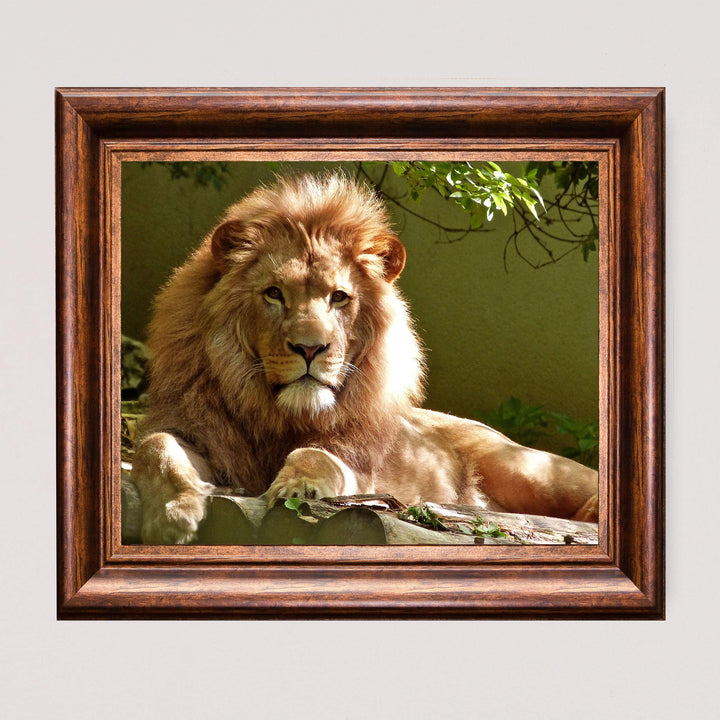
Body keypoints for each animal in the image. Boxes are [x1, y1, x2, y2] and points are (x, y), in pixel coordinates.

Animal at [131, 172, 599, 544]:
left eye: (339, 297)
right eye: (274, 294)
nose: (310, 348)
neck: (277, 414)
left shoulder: (360, 472)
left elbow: (316, 455)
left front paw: (298, 488)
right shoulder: (198, 431)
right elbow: (156, 447)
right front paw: (175, 513)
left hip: (527, 468)